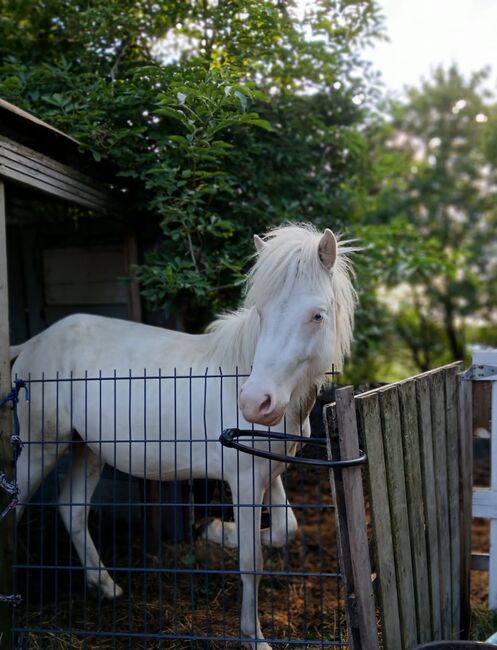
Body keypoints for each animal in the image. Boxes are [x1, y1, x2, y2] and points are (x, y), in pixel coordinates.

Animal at [10, 221, 352, 644]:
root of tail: (32, 344)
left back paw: (106, 587)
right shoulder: (244, 479)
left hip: (86, 448)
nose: (255, 402)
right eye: (261, 312)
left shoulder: (268, 472)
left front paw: (216, 531)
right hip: (40, 446)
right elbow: (252, 561)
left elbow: (284, 529)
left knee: (72, 509)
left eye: (317, 316)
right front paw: (253, 637)